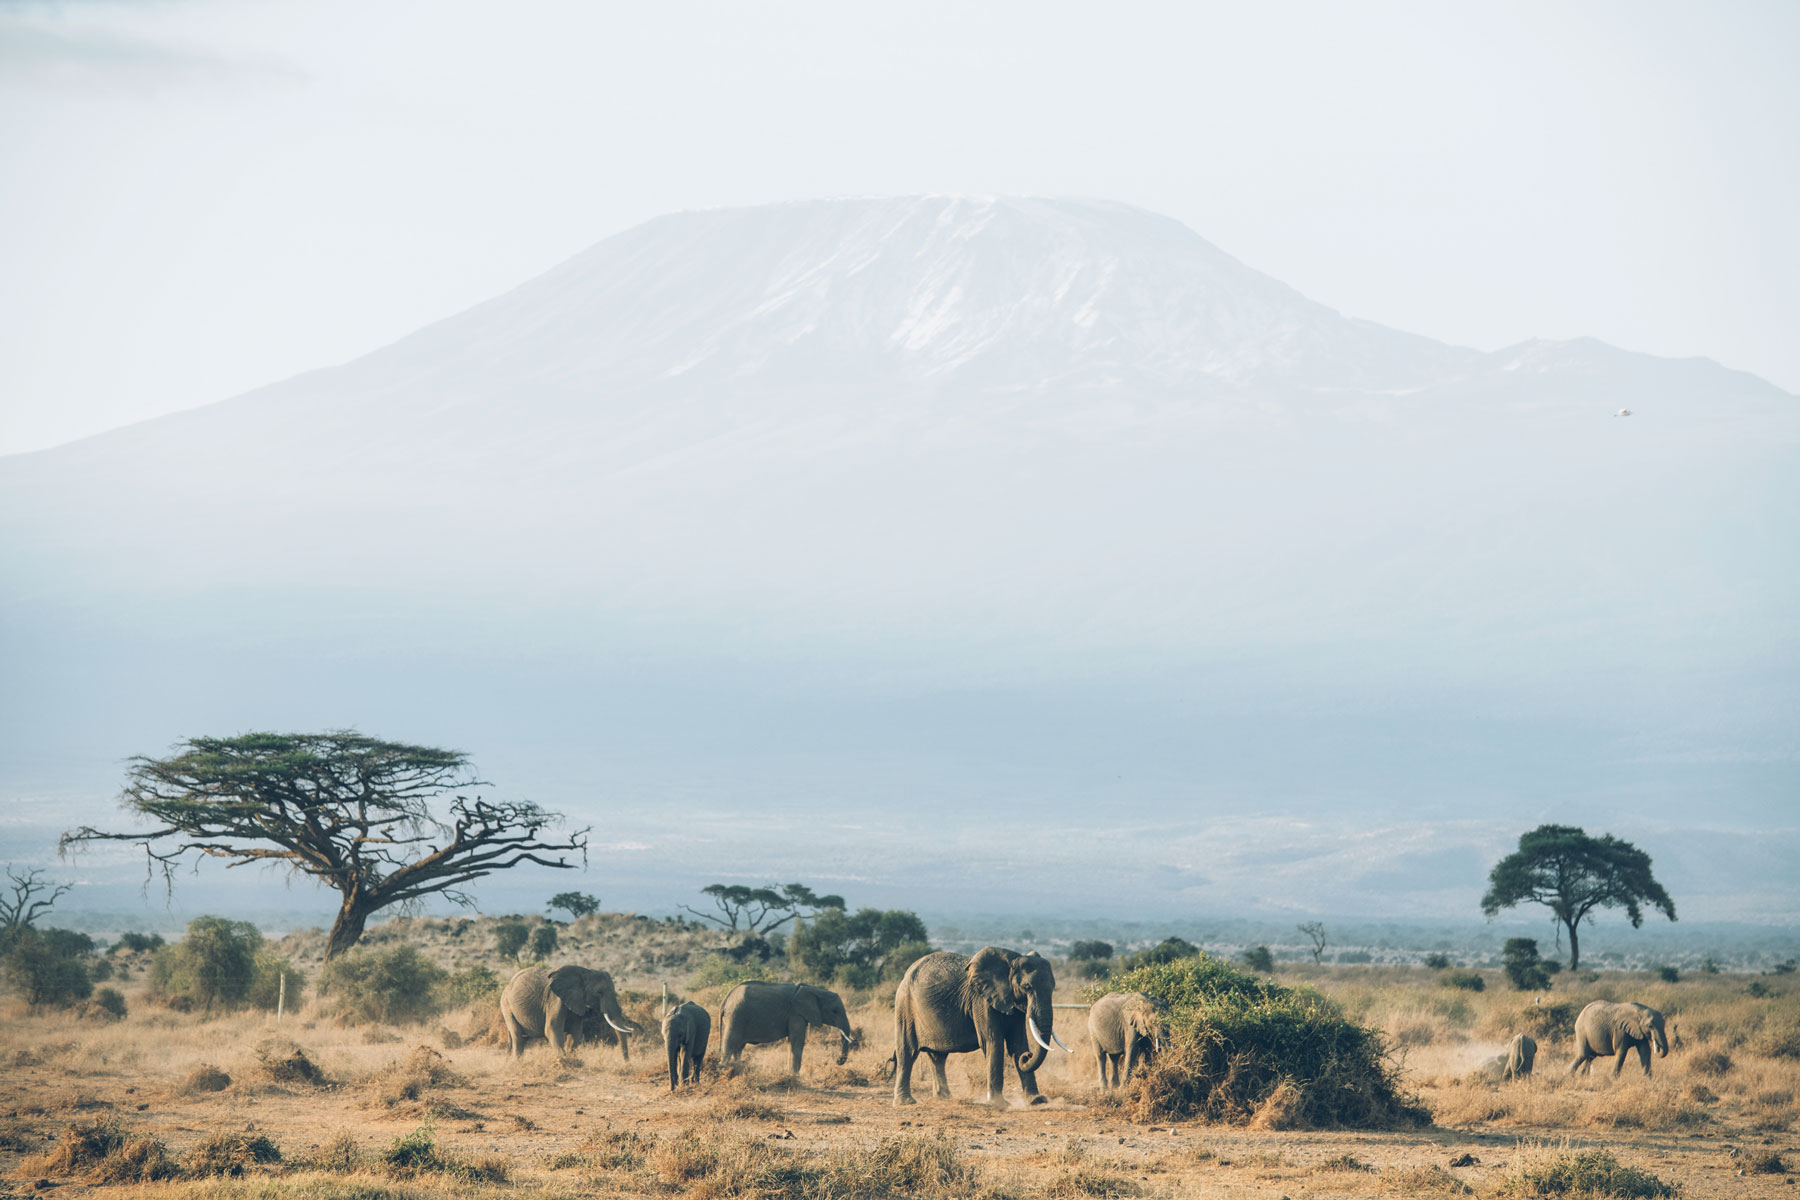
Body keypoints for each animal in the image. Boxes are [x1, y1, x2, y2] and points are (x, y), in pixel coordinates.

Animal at [500, 964, 640, 1057]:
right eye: (599, 992)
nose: (627, 1064)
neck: (585, 972)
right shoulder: (554, 999)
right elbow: (552, 1028)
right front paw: (564, 1063)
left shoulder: (577, 1002)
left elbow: (575, 1032)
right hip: (506, 1006)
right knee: (518, 1037)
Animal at [889, 949, 1058, 1108]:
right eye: (1027, 987)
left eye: (1053, 987)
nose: (1028, 1056)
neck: (1010, 961)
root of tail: (906, 974)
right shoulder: (981, 1001)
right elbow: (992, 1042)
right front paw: (999, 1104)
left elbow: (1017, 1044)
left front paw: (1037, 1100)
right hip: (905, 1006)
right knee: (907, 1053)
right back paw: (905, 1102)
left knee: (937, 1057)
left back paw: (944, 1098)